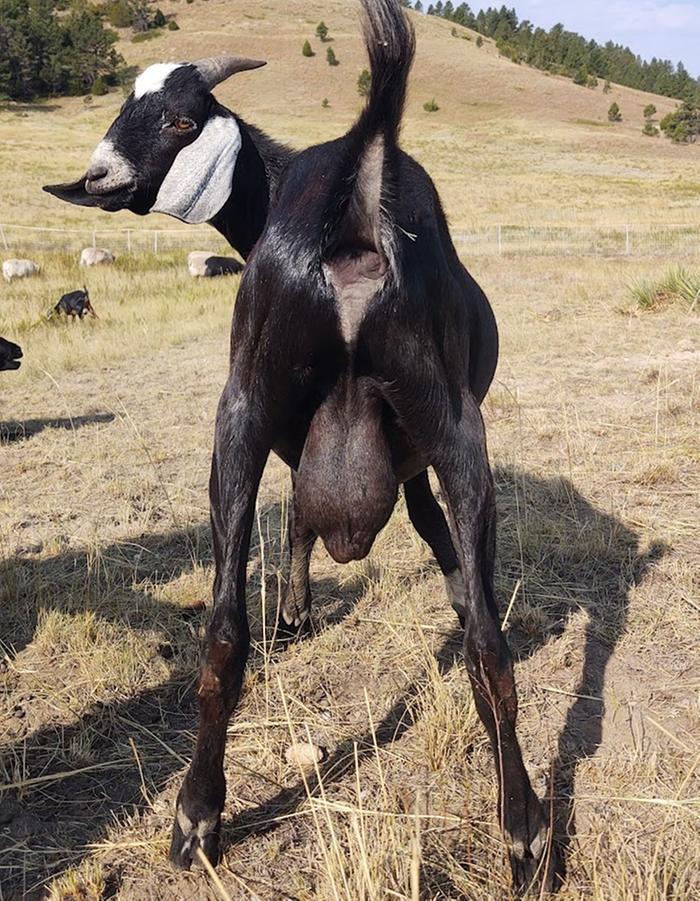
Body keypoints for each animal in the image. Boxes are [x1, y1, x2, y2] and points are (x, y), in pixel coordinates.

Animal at [46, 1, 556, 892]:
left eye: (181, 120)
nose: (102, 176)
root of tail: (355, 192)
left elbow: (309, 524)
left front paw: (295, 611)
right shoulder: (405, 460)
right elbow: (407, 553)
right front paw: (302, 612)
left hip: (249, 409)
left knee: (232, 626)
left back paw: (199, 817)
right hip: (440, 424)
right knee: (476, 646)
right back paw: (520, 831)